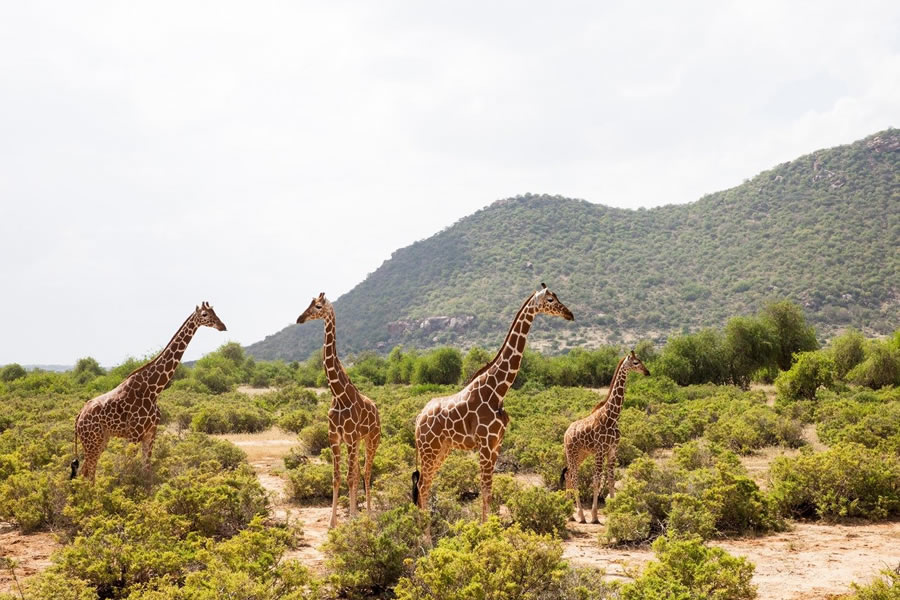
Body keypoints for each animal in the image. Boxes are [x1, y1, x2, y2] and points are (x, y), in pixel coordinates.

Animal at [71, 302, 227, 480]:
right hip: (92, 441)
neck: (153, 390)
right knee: (89, 473)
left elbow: (147, 470)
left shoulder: (151, 433)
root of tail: (78, 417)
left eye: (215, 312)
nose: (223, 326)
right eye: (205, 314)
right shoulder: (134, 434)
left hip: (100, 440)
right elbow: (128, 471)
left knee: (85, 472)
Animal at [296, 292, 380, 528]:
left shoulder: (349, 438)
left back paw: (368, 512)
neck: (339, 394)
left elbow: (350, 477)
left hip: (372, 439)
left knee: (367, 472)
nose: (299, 319)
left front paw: (351, 518)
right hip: (359, 441)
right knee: (360, 471)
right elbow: (337, 477)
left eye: (317, 306)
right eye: (308, 304)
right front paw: (332, 521)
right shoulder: (335, 438)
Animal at [412, 284, 572, 524]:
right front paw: (485, 527)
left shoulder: (497, 443)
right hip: (429, 448)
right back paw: (424, 531)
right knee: (422, 485)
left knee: (426, 484)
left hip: (442, 449)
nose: (570, 314)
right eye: (551, 300)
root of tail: (418, 420)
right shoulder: (486, 444)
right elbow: (485, 490)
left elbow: (491, 489)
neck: (498, 390)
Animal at [560, 350, 652, 524]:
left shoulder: (613, 449)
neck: (612, 417)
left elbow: (611, 479)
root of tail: (566, 433)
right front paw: (594, 516)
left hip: (581, 454)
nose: (647, 372)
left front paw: (614, 510)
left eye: (641, 360)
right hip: (572, 452)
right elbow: (597, 479)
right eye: (636, 362)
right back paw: (581, 515)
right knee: (574, 477)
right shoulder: (600, 450)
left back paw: (570, 514)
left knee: (568, 475)